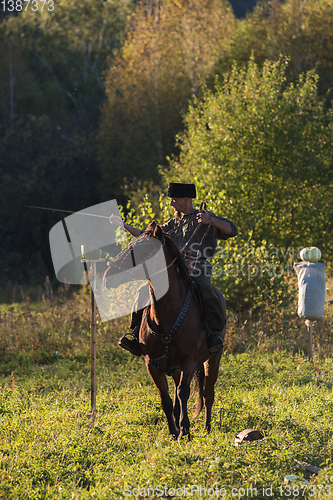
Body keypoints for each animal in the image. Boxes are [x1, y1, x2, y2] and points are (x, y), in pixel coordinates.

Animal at [102, 221, 224, 440]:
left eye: (144, 249)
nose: (108, 276)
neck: (167, 314)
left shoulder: (189, 360)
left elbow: (184, 393)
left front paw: (185, 430)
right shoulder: (152, 364)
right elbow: (166, 398)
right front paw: (174, 431)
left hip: (213, 358)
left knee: (207, 393)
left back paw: (207, 427)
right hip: (174, 368)